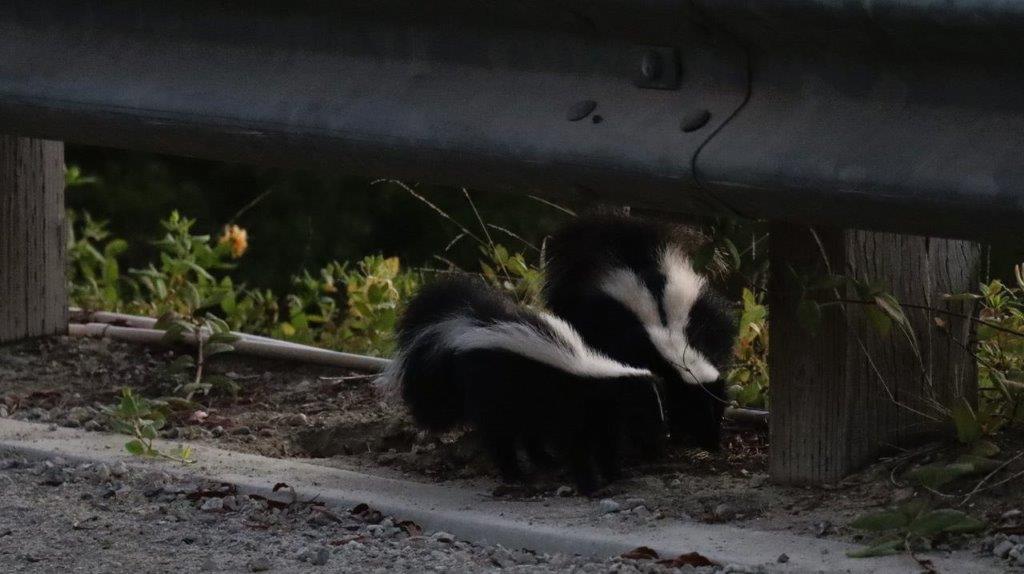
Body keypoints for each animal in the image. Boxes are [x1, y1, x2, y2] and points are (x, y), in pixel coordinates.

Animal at [380, 276, 667, 491]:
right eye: (645, 406)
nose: (664, 434)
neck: (596, 377)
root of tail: (472, 324)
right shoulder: (573, 410)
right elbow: (577, 448)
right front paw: (589, 484)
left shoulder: (601, 417)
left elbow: (605, 444)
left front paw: (613, 474)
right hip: (496, 395)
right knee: (500, 437)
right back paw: (514, 474)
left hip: (526, 403)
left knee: (529, 434)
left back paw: (545, 460)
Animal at [544, 213, 737, 448]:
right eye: (695, 410)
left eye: (718, 412)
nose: (713, 444)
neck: (671, 338)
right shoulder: (630, 344)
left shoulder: (708, 328)